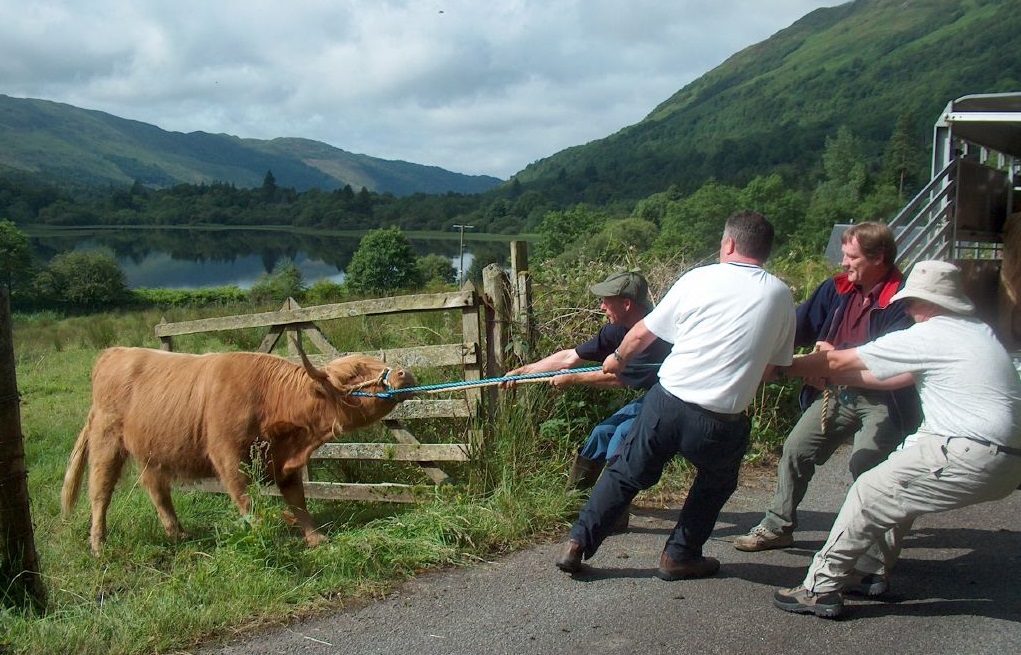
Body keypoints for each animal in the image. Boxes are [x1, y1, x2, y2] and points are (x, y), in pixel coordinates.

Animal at [60, 344, 414, 555]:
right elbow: (247, 501)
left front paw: (315, 537)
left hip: (152, 451)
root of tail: (113, 352)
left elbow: (298, 500)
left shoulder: (286, 464)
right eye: (355, 373)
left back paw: (178, 534)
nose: (403, 372)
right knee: (100, 492)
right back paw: (98, 544)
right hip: (106, 441)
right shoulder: (228, 458)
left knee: (157, 489)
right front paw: (263, 536)